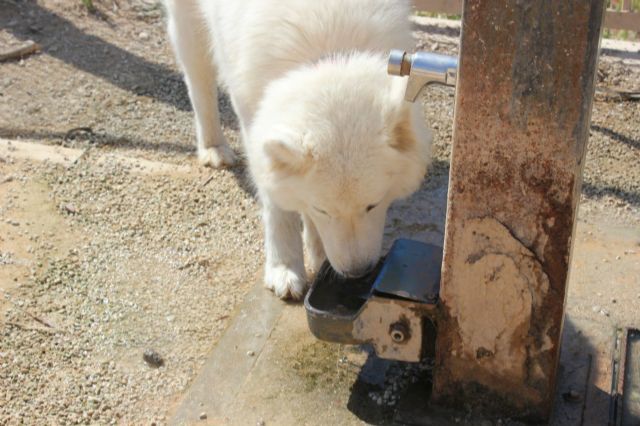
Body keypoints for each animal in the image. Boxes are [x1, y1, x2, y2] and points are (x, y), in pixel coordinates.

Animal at [166, 0, 436, 300]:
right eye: (323, 210)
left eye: (373, 204)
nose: (357, 272)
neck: (327, 55)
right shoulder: (255, 122)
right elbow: (278, 207)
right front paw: (284, 268)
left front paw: (318, 253)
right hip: (188, 24)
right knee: (199, 80)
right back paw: (213, 146)